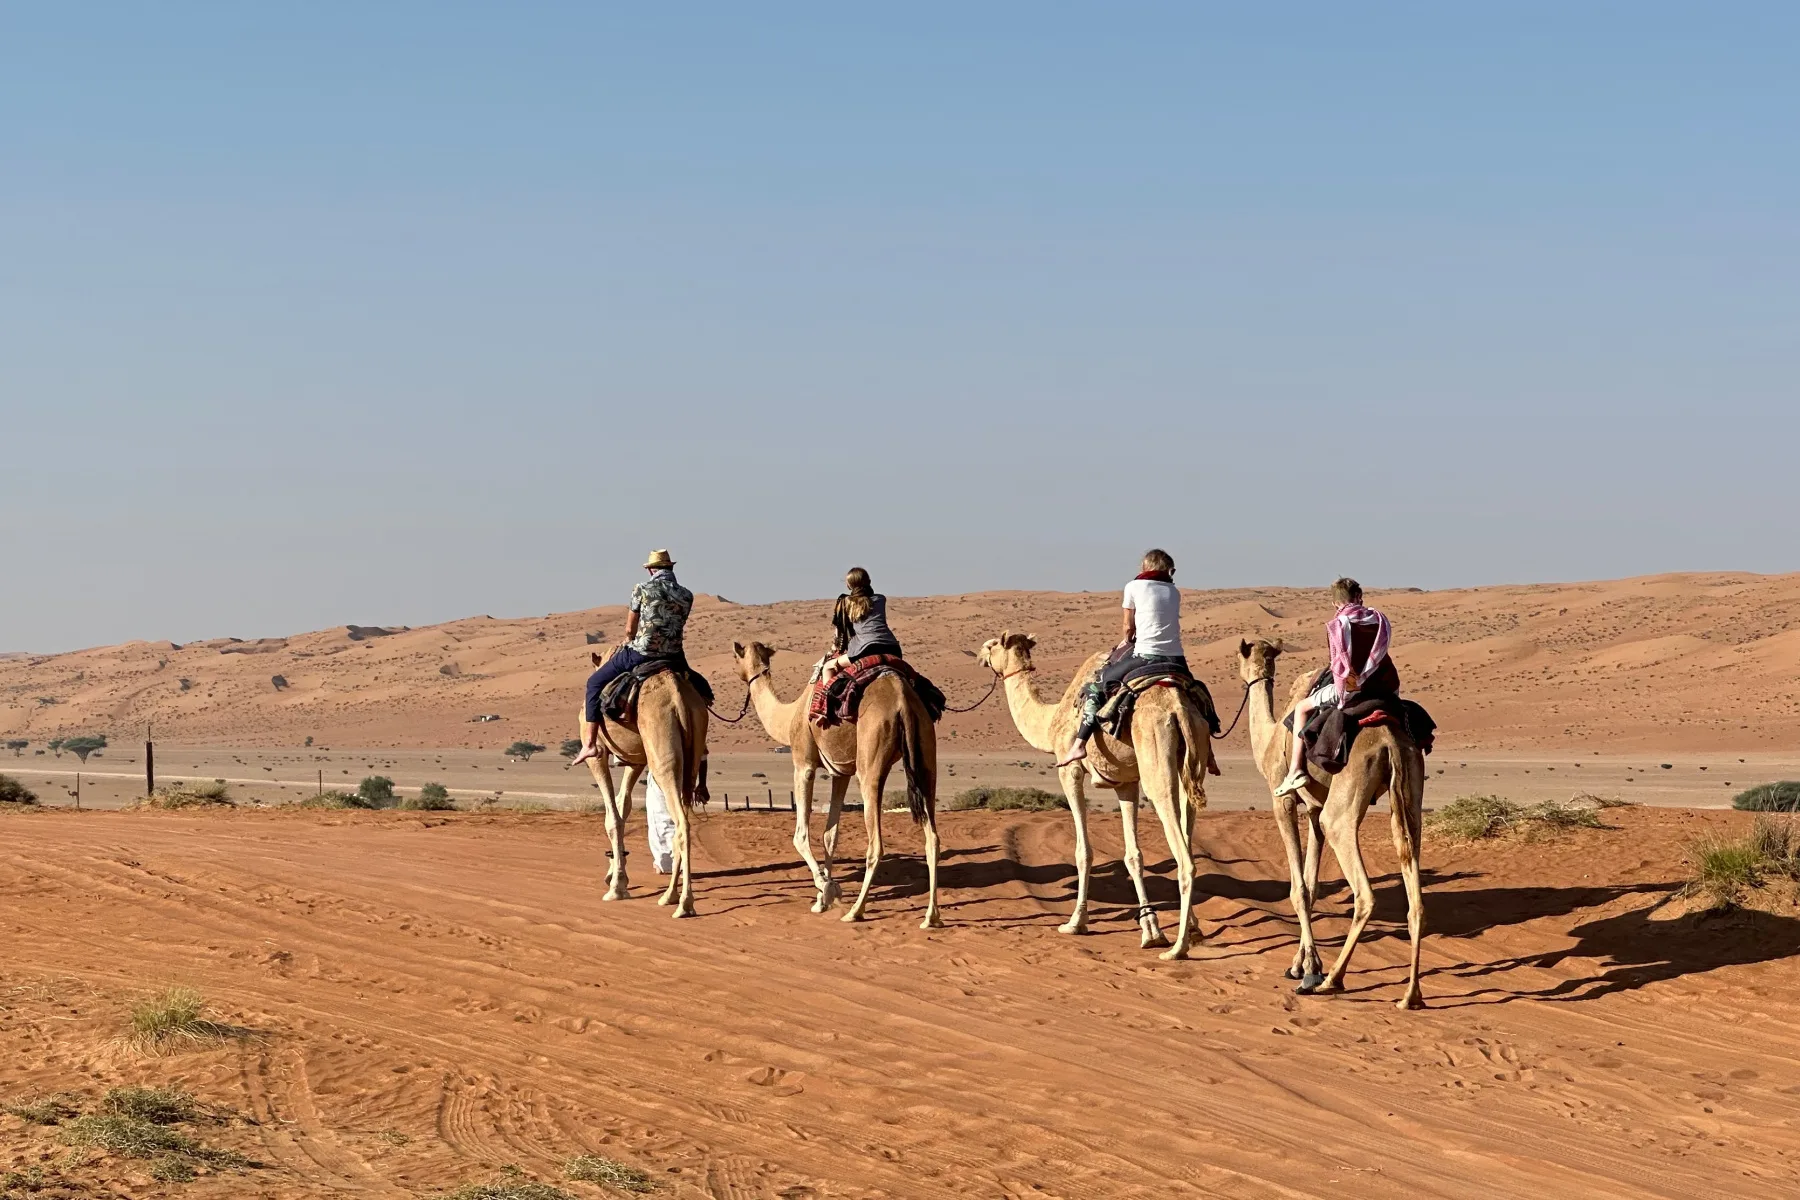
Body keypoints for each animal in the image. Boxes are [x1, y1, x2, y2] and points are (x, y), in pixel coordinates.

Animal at [574, 655, 710, 917]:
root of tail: (677, 695)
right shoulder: (636, 760)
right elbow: (622, 805)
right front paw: (615, 874)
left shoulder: (598, 754)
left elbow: (612, 818)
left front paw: (616, 887)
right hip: (692, 751)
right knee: (681, 814)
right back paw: (669, 896)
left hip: (661, 753)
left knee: (681, 824)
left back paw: (684, 904)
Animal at [730, 641, 943, 928]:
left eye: (737, 657)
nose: (740, 673)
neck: (790, 716)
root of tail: (903, 702)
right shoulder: (840, 773)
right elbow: (830, 835)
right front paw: (822, 899)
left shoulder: (804, 764)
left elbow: (801, 835)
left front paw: (826, 887)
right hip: (926, 757)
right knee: (932, 838)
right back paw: (931, 916)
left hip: (870, 763)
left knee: (876, 843)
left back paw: (856, 911)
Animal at [976, 632, 1211, 959]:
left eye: (992, 645)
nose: (979, 655)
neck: (1051, 720)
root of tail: (1178, 708)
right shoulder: (1126, 782)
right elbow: (1133, 855)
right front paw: (1150, 929)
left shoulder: (1069, 770)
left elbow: (1082, 851)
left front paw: (1076, 922)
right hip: (1191, 759)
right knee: (1188, 825)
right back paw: (1194, 929)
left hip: (1156, 758)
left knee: (1182, 851)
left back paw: (1178, 949)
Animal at [1237, 638, 1427, 1010]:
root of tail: (1390, 741)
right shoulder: (1314, 809)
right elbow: (1311, 887)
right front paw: (1299, 964)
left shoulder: (1284, 803)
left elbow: (1298, 889)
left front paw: (1310, 969)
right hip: (1411, 794)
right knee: (1414, 890)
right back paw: (1411, 995)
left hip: (1342, 808)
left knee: (1364, 893)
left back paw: (1332, 981)